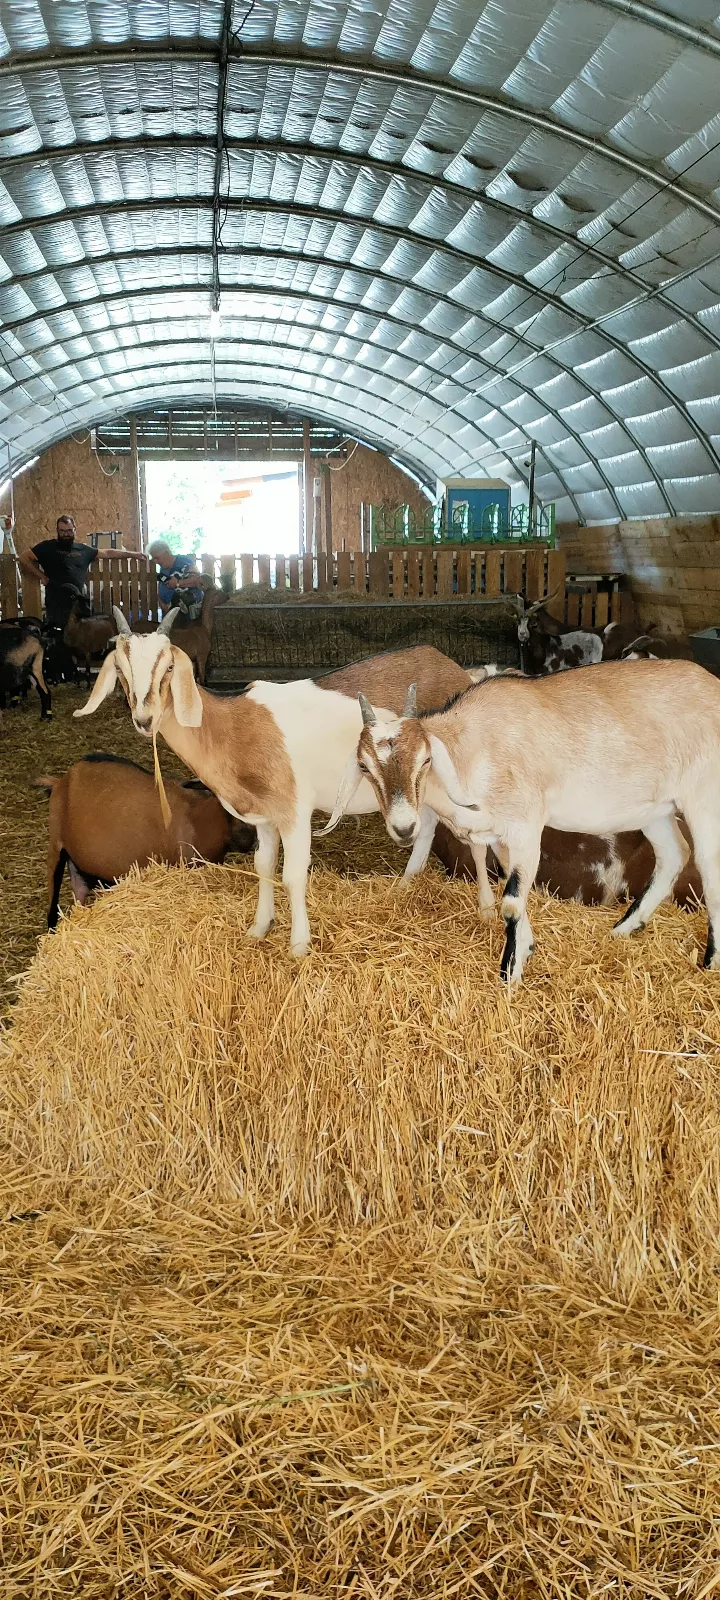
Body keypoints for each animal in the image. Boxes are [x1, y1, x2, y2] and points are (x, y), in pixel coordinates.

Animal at [38, 753, 256, 930]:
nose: (250, 841)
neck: (200, 818)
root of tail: (61, 780)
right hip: (55, 846)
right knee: (52, 906)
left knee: (80, 892)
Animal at [74, 614, 494, 955]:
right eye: (121, 670)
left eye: (168, 668)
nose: (144, 719)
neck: (231, 728)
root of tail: (461, 673)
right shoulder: (263, 815)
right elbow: (263, 865)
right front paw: (259, 928)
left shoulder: (294, 809)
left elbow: (292, 874)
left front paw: (298, 945)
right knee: (428, 826)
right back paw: (406, 886)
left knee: (473, 830)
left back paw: (487, 909)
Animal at [333, 661, 720, 984]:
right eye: (365, 766)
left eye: (426, 759)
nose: (403, 828)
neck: (473, 747)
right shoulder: (502, 836)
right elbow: (514, 884)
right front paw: (527, 949)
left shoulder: (526, 825)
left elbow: (511, 901)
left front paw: (510, 974)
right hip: (654, 809)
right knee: (673, 855)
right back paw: (624, 929)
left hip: (703, 796)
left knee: (709, 866)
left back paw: (710, 962)